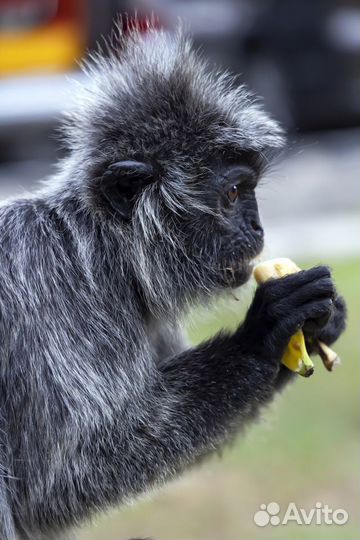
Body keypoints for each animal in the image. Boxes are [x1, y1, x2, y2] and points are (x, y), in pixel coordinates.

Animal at [0, 22, 346, 540]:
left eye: (249, 192)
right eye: (232, 193)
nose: (259, 227)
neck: (95, 248)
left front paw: (326, 321)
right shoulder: (39, 279)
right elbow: (62, 480)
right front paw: (264, 333)